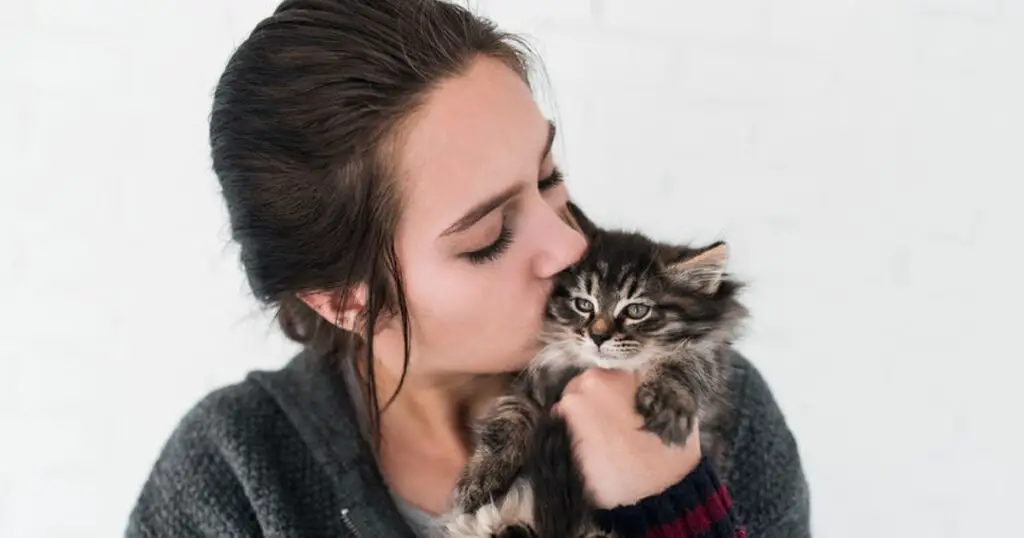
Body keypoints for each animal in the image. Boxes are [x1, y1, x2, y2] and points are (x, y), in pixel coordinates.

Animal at [436, 202, 749, 536]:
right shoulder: (531, 382)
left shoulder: (709, 354)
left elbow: (686, 362)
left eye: (636, 310)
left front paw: (668, 404)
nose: (598, 336)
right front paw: (480, 476)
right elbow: (507, 417)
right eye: (584, 305)